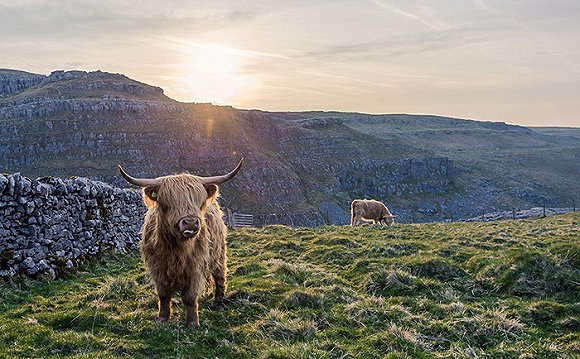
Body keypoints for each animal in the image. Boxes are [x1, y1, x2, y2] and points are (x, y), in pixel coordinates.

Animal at [119, 160, 241, 330]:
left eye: (198, 200)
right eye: (169, 201)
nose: (190, 222)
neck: (176, 249)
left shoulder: (195, 268)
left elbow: (190, 297)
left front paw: (193, 323)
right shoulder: (158, 269)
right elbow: (163, 295)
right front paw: (162, 318)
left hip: (219, 253)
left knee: (220, 275)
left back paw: (219, 299)